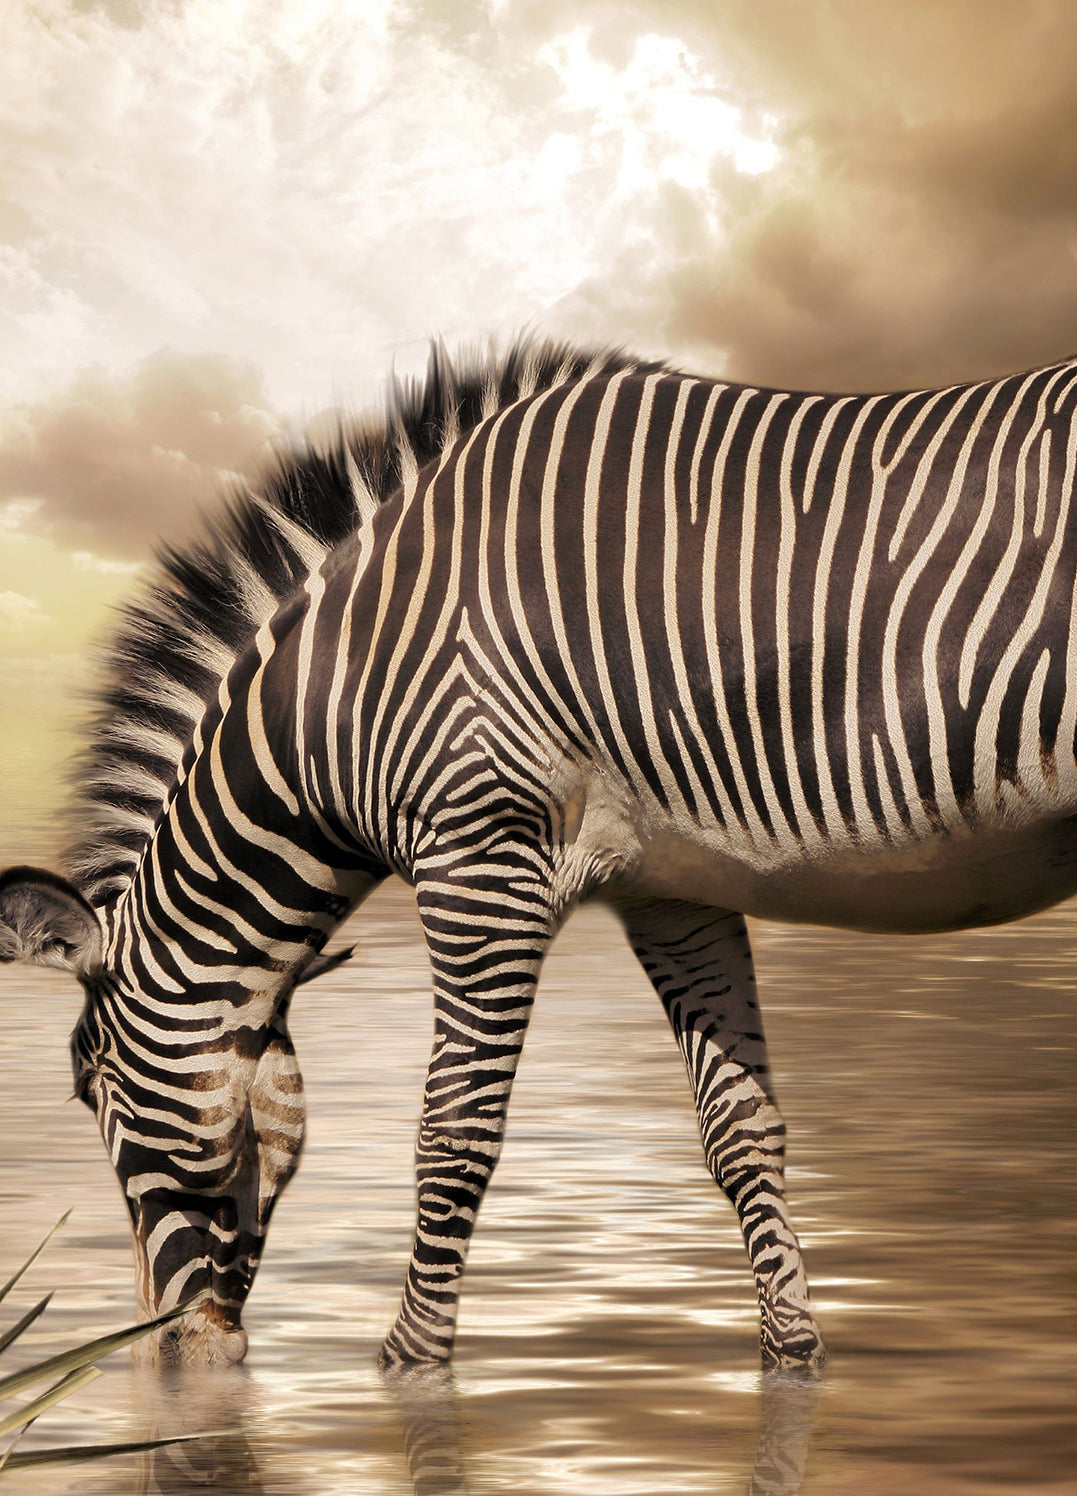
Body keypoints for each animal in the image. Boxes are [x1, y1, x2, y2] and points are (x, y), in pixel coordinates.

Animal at [2, 335, 1076, 1374]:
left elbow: (454, 1129)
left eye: (90, 1090)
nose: (170, 1359)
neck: (344, 696)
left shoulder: (481, 856)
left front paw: (409, 1369)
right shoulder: (674, 891)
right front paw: (791, 1358)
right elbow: (740, 1129)